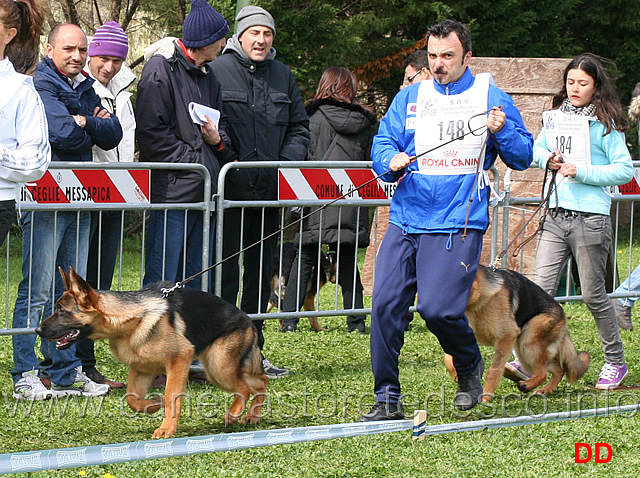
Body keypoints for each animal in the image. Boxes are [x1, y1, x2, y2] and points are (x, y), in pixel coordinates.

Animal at [37, 268, 268, 438]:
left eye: (62, 311)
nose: (37, 330)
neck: (130, 318)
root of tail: (248, 320)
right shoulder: (141, 369)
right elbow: (132, 399)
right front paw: (154, 405)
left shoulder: (179, 360)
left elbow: (171, 395)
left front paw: (166, 428)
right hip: (217, 370)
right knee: (260, 381)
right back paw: (253, 416)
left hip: (219, 367)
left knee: (245, 387)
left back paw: (234, 414)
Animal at [444, 266, 592, 400]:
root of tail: (563, 317)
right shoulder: (461, 335)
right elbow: (450, 357)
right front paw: (460, 374)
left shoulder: (506, 337)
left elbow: (494, 370)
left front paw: (485, 396)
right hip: (525, 351)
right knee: (558, 369)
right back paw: (545, 389)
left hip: (528, 344)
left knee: (543, 373)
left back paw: (526, 385)